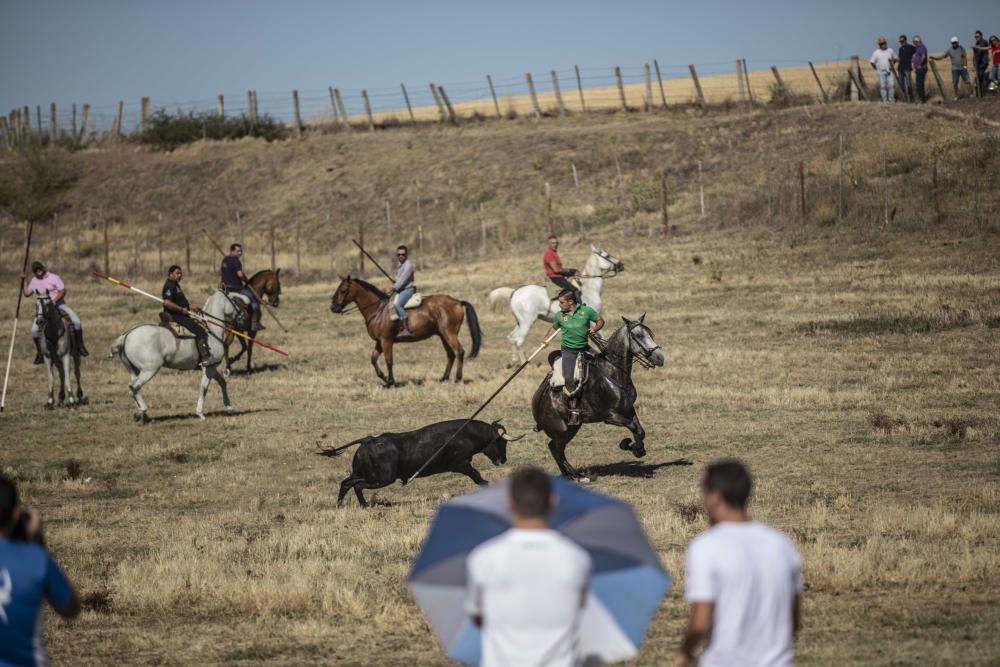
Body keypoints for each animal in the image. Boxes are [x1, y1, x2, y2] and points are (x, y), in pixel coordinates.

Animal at [320, 420, 524, 508]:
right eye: (501, 441)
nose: (504, 460)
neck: (464, 434)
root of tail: (369, 440)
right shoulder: (461, 464)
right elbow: (477, 476)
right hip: (382, 478)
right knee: (357, 485)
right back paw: (364, 506)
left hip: (362, 473)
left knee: (346, 483)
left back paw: (340, 505)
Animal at [330, 276, 482, 386]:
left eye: (343, 290)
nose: (333, 308)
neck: (378, 309)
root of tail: (457, 302)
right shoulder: (379, 342)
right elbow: (373, 360)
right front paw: (384, 378)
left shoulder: (386, 341)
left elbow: (389, 360)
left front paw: (391, 382)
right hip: (442, 335)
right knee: (450, 355)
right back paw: (443, 378)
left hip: (449, 333)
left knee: (459, 352)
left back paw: (457, 379)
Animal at [532, 318, 664, 480]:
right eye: (638, 335)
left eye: (650, 334)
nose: (660, 357)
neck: (613, 373)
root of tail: (536, 403)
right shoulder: (611, 416)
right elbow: (633, 427)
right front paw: (629, 445)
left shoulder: (628, 409)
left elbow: (640, 430)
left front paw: (637, 449)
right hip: (561, 429)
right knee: (556, 449)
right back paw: (576, 475)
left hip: (572, 427)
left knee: (556, 448)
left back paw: (572, 474)